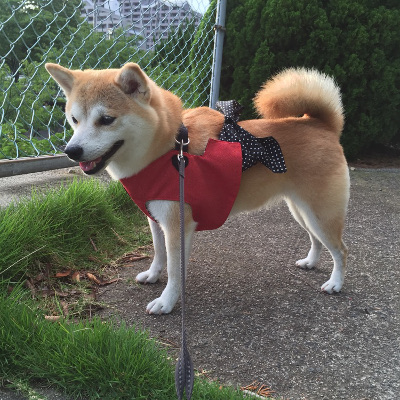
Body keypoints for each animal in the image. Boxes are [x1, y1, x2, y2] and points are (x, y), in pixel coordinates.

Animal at [45, 62, 348, 314]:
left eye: (106, 119)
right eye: (74, 119)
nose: (71, 151)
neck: (167, 150)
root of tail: (320, 124)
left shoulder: (178, 225)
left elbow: (174, 270)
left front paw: (166, 302)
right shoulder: (155, 218)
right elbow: (158, 254)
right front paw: (153, 275)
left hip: (320, 214)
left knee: (341, 250)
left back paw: (335, 283)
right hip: (302, 211)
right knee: (317, 241)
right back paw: (311, 262)